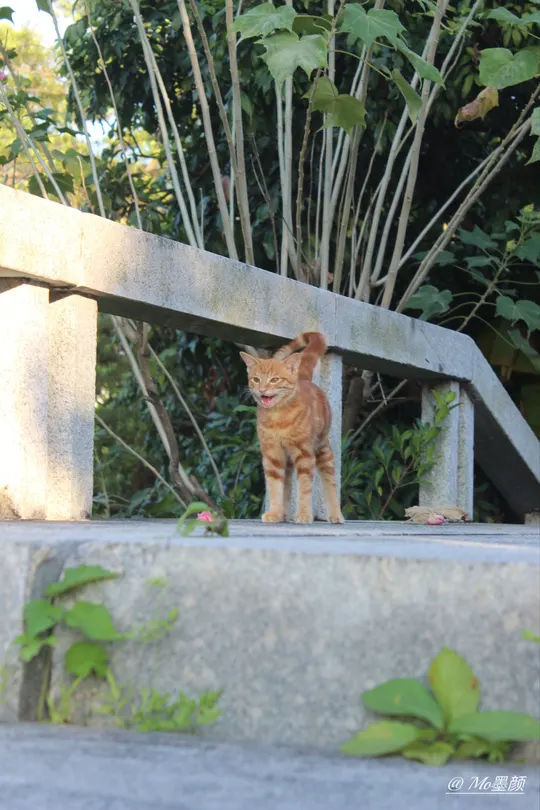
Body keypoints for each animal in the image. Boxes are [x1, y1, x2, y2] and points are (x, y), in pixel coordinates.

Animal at [240, 332, 344, 524]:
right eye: (256, 379)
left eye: (274, 379)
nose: (262, 389)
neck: (277, 418)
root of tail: (303, 378)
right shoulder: (272, 455)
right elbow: (275, 487)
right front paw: (274, 513)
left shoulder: (304, 454)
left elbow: (304, 488)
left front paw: (303, 514)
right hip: (287, 460)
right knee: (287, 485)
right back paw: (284, 513)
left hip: (323, 449)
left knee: (330, 482)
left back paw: (335, 514)